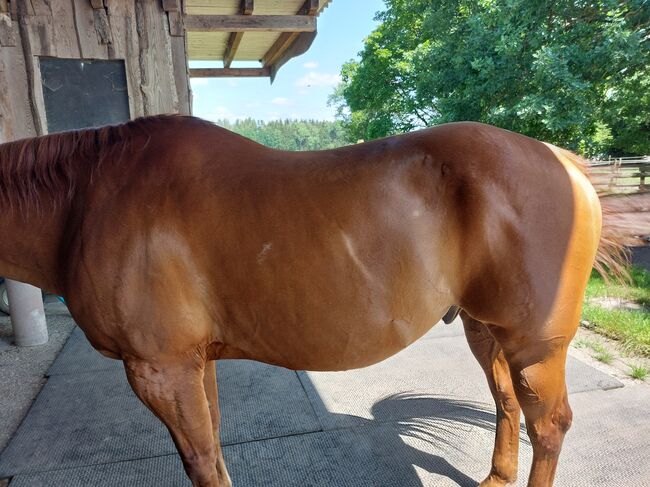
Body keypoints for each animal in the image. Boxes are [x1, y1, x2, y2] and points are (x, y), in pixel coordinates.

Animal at [0, 116, 612, 486]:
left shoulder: (160, 369)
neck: (89, 197)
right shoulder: (194, 365)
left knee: (548, 425)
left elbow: (201, 462)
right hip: (485, 330)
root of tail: (565, 161)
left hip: (534, 344)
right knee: (506, 403)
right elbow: (213, 447)